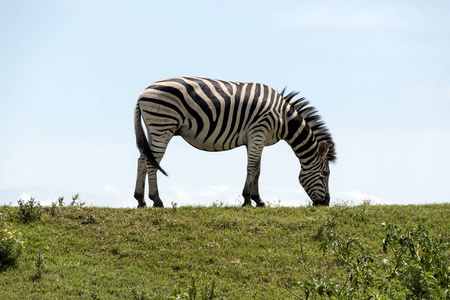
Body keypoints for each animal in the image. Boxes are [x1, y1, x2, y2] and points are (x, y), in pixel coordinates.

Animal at [133, 77, 334, 207]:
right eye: (326, 174)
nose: (326, 204)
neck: (283, 118)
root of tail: (144, 91)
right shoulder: (258, 131)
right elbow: (252, 167)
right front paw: (247, 200)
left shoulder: (255, 139)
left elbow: (257, 169)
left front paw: (258, 200)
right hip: (163, 125)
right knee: (151, 162)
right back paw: (157, 201)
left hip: (153, 128)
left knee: (142, 159)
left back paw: (140, 200)